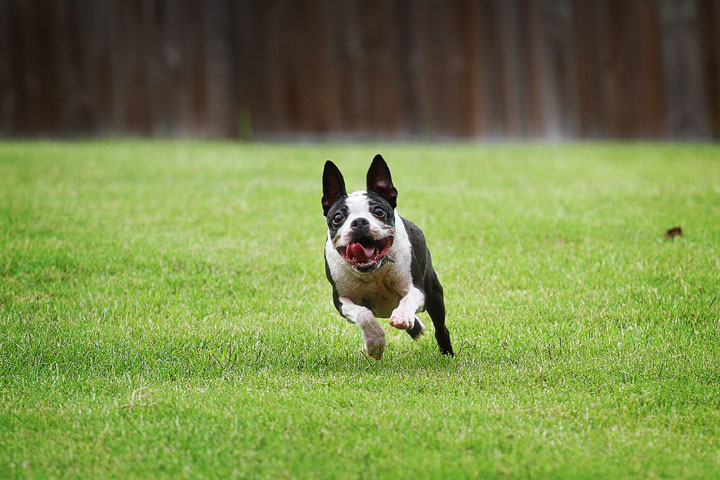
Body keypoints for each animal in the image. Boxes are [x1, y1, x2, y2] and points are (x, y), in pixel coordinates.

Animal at [322, 155, 452, 360]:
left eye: (379, 211)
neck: (372, 272)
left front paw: (402, 316)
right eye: (337, 218)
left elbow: (408, 300)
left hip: (434, 294)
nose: (359, 222)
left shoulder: (416, 289)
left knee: (440, 328)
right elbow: (364, 314)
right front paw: (375, 343)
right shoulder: (342, 300)